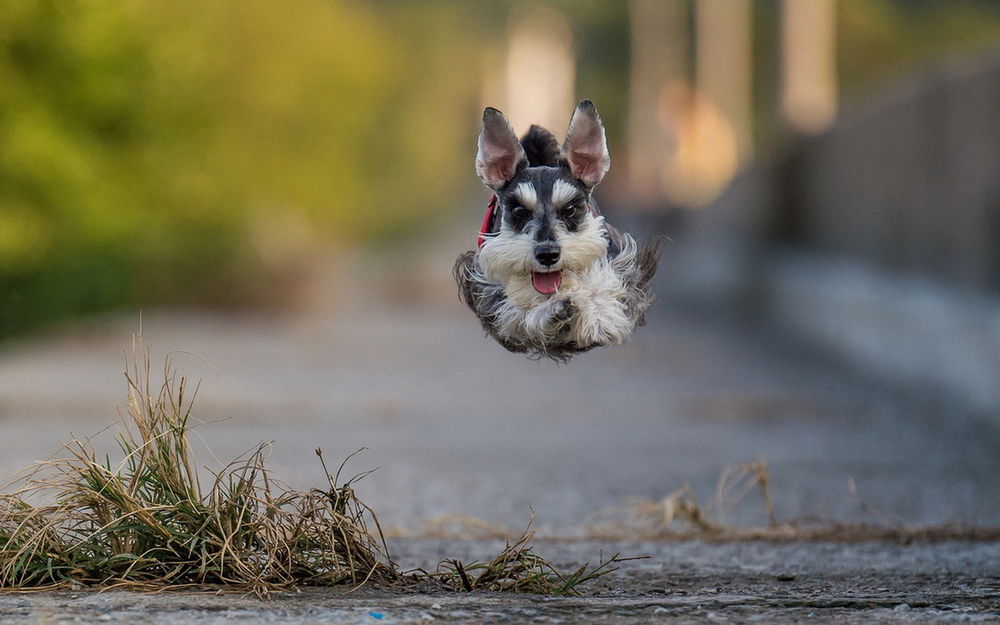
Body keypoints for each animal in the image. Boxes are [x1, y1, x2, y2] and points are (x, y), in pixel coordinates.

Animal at [456, 99, 660, 358]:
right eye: (519, 210)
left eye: (570, 209)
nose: (547, 254)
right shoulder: (489, 295)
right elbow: (519, 314)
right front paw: (552, 311)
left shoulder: (624, 270)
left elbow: (604, 295)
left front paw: (595, 316)